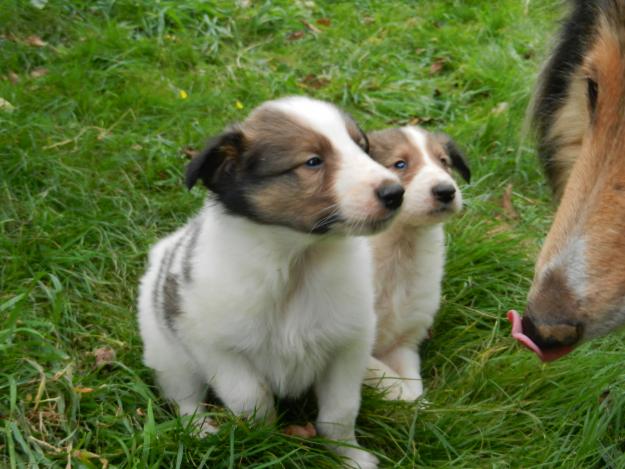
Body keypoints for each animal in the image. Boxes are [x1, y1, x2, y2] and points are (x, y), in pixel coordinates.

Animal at [135, 96, 404, 468]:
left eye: (361, 147)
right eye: (313, 161)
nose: (396, 193)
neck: (297, 265)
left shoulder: (349, 344)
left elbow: (340, 411)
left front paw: (349, 456)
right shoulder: (216, 348)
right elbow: (252, 400)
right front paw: (265, 442)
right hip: (169, 354)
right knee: (184, 398)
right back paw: (200, 430)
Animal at [360, 126, 468, 400]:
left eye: (444, 162)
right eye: (400, 164)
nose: (446, 191)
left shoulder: (405, 340)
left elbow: (409, 380)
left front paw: (420, 405)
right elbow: (386, 376)